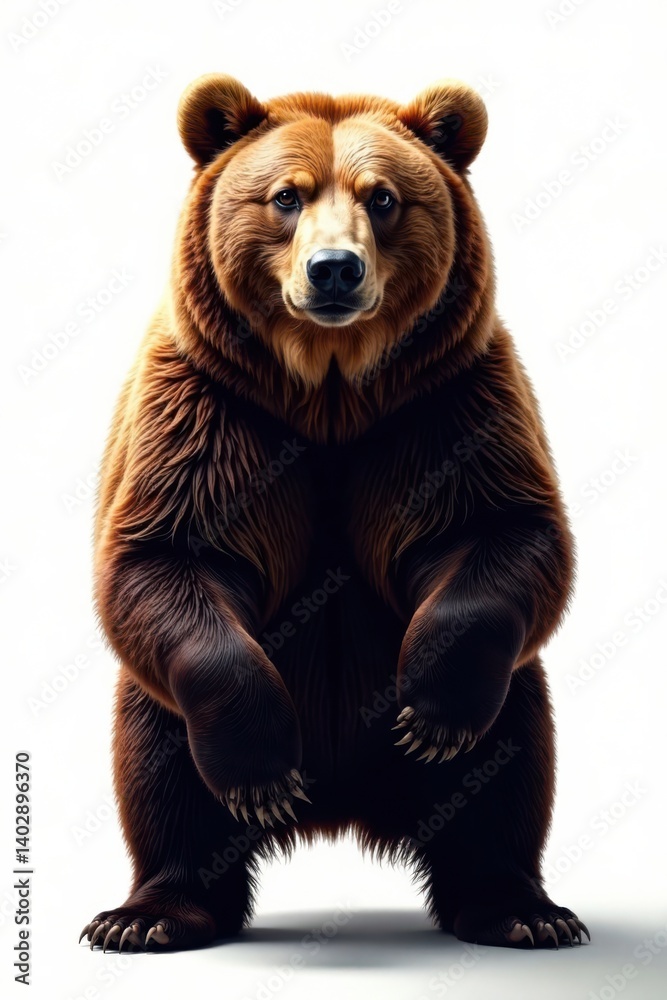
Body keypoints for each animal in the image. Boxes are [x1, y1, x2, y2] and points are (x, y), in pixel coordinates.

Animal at [80, 74, 589, 953]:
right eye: (285, 196)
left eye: (381, 197)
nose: (333, 271)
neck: (329, 396)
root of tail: (342, 810)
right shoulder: (208, 413)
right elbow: (166, 554)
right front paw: (260, 774)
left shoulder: (446, 407)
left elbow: (502, 530)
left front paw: (431, 717)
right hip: (161, 707)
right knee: (157, 762)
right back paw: (151, 914)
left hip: (502, 695)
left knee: (512, 756)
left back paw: (520, 909)